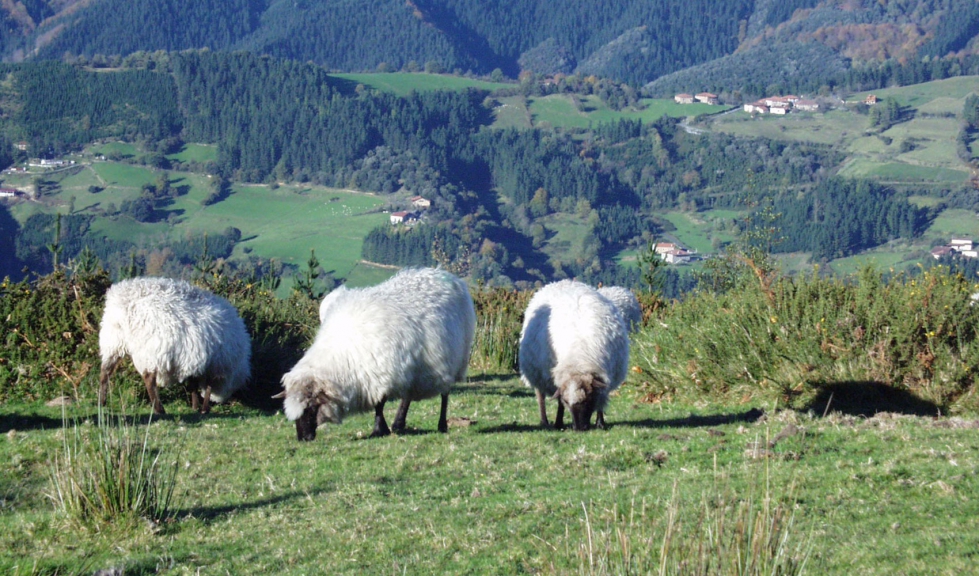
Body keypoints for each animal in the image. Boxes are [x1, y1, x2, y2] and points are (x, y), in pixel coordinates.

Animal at [98, 276, 253, 414]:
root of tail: (124, 303)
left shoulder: (198, 362)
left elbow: (193, 385)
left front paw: (195, 407)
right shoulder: (215, 365)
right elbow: (207, 387)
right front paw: (204, 409)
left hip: (112, 341)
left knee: (105, 371)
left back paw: (102, 402)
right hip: (152, 348)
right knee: (149, 379)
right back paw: (159, 410)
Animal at [278, 268, 476, 444]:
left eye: (310, 408)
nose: (303, 438)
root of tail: (448, 276)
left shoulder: (383, 372)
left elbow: (379, 404)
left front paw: (379, 429)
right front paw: (384, 428)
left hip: (453, 358)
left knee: (444, 395)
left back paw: (442, 425)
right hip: (415, 368)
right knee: (408, 395)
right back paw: (399, 423)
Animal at [520, 280, 628, 432]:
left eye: (588, 399)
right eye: (567, 401)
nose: (579, 428)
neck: (578, 362)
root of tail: (562, 282)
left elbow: (601, 400)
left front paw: (600, 423)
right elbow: (559, 403)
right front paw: (558, 422)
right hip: (536, 373)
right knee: (540, 396)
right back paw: (544, 421)